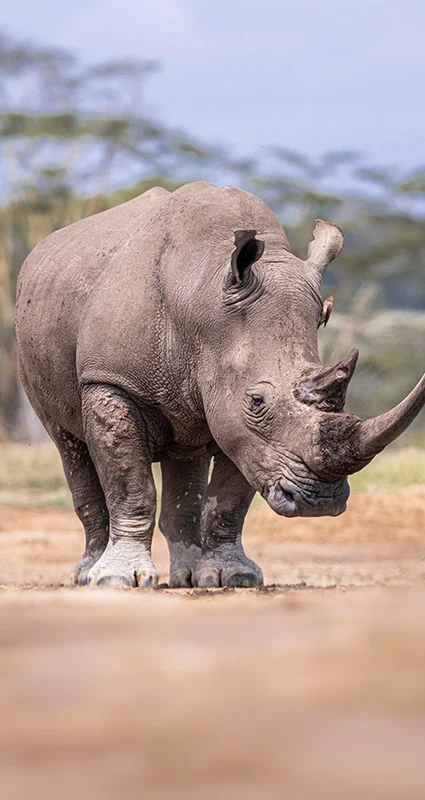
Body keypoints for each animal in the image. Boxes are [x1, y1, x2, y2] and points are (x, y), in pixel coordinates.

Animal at [15, 182, 425, 588]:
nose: (320, 500)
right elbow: (131, 486)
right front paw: (119, 579)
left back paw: (185, 578)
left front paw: (235, 576)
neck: (204, 299)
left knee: (185, 448)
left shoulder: (238, 419)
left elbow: (230, 499)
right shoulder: (112, 381)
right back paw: (87, 575)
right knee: (67, 442)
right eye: (257, 400)